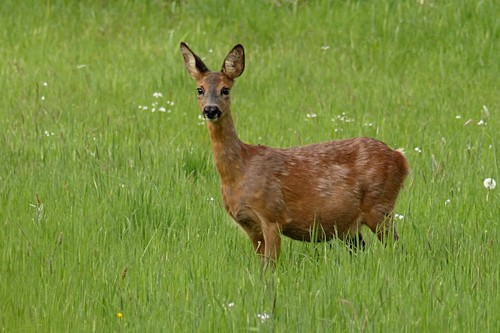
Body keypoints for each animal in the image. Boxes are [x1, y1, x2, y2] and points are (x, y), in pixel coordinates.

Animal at [180, 42, 410, 264]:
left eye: (225, 89)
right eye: (199, 89)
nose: (211, 110)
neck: (238, 172)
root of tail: (401, 158)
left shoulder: (271, 215)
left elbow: (271, 266)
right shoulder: (249, 225)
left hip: (379, 205)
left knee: (398, 248)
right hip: (350, 225)